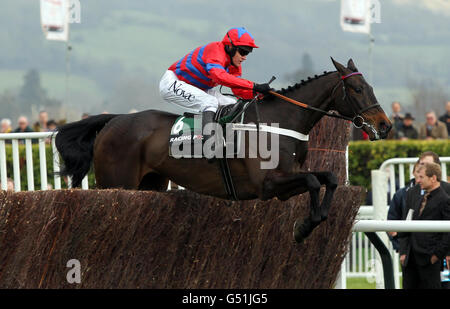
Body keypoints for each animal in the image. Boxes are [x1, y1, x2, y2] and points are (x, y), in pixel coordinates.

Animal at [56, 57, 392, 241]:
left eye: (371, 87)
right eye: (357, 89)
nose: (385, 125)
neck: (281, 120)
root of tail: (113, 120)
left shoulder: (289, 176)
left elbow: (329, 179)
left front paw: (313, 221)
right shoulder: (267, 185)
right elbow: (312, 181)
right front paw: (304, 225)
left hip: (151, 184)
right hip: (116, 183)